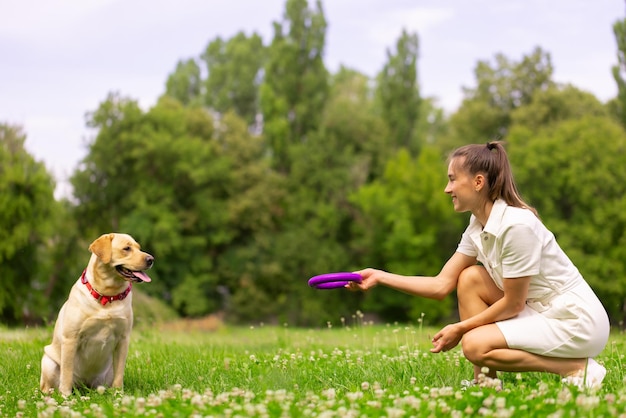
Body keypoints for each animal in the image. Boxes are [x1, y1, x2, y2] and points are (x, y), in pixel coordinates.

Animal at [40, 233, 154, 396]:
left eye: (139, 248)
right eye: (127, 248)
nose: (151, 259)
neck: (108, 295)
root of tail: (82, 385)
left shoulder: (123, 339)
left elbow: (120, 374)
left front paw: (118, 394)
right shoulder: (71, 339)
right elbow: (66, 373)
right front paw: (65, 396)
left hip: (107, 373)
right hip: (48, 362)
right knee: (49, 384)